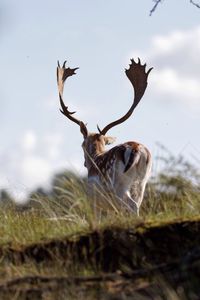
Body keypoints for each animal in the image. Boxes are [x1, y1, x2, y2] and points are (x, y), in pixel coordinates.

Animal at [56, 58, 153, 216]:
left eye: (81, 145)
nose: (85, 163)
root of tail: (137, 149)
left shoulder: (94, 200)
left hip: (119, 185)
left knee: (131, 205)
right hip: (141, 183)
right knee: (137, 204)